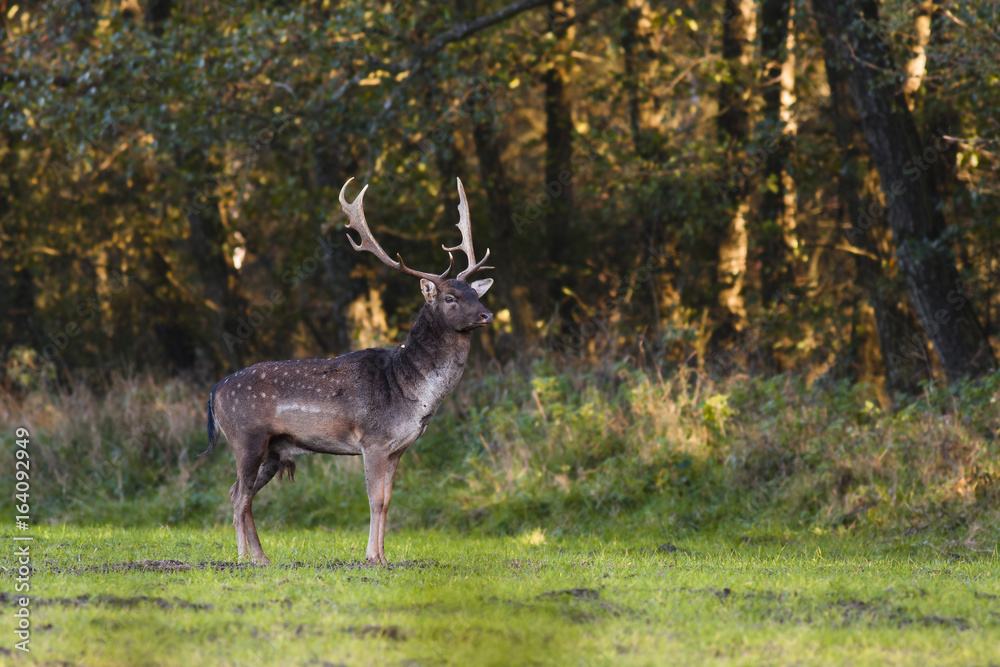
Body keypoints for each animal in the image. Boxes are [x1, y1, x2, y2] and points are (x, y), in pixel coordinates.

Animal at [202, 177, 494, 565]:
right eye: (450, 298)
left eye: (475, 294)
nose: (487, 315)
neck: (409, 391)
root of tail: (215, 391)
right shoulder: (373, 439)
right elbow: (375, 500)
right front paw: (371, 557)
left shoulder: (398, 448)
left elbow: (388, 501)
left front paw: (383, 557)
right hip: (246, 437)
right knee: (237, 495)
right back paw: (241, 557)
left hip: (273, 451)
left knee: (242, 493)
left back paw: (261, 558)